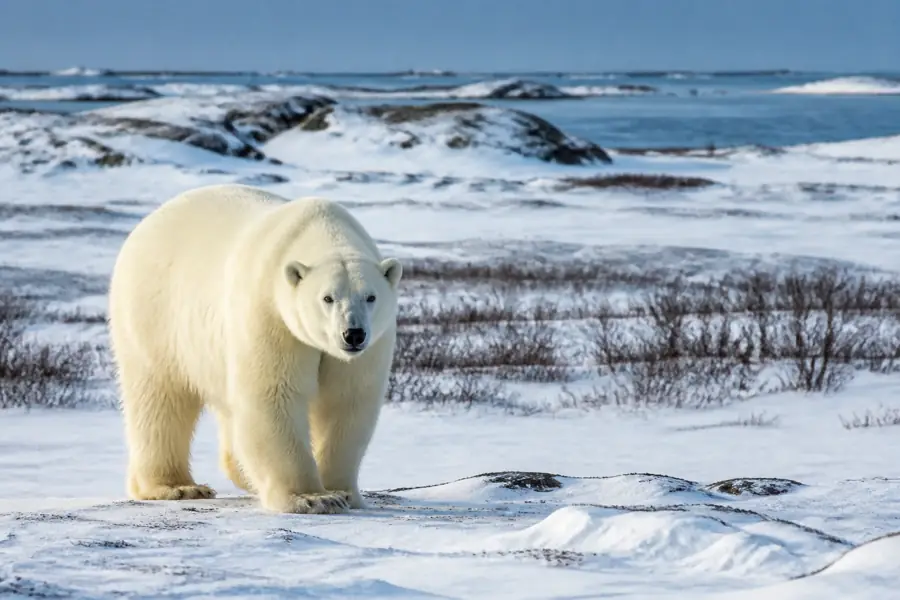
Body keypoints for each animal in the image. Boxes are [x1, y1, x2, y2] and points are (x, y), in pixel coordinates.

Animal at [107, 183, 402, 514]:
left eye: (371, 297)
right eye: (327, 297)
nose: (353, 334)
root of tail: (147, 223)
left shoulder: (369, 348)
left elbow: (347, 401)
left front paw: (344, 492)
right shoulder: (269, 314)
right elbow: (274, 395)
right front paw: (312, 497)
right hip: (155, 316)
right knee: (160, 398)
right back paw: (177, 487)